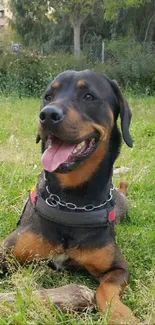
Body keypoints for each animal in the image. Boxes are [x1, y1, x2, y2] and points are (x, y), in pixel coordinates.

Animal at [2, 70, 137, 322]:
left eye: (89, 96)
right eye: (48, 96)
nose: (47, 115)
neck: (71, 201)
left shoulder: (118, 268)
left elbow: (106, 289)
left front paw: (120, 314)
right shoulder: (6, 251)